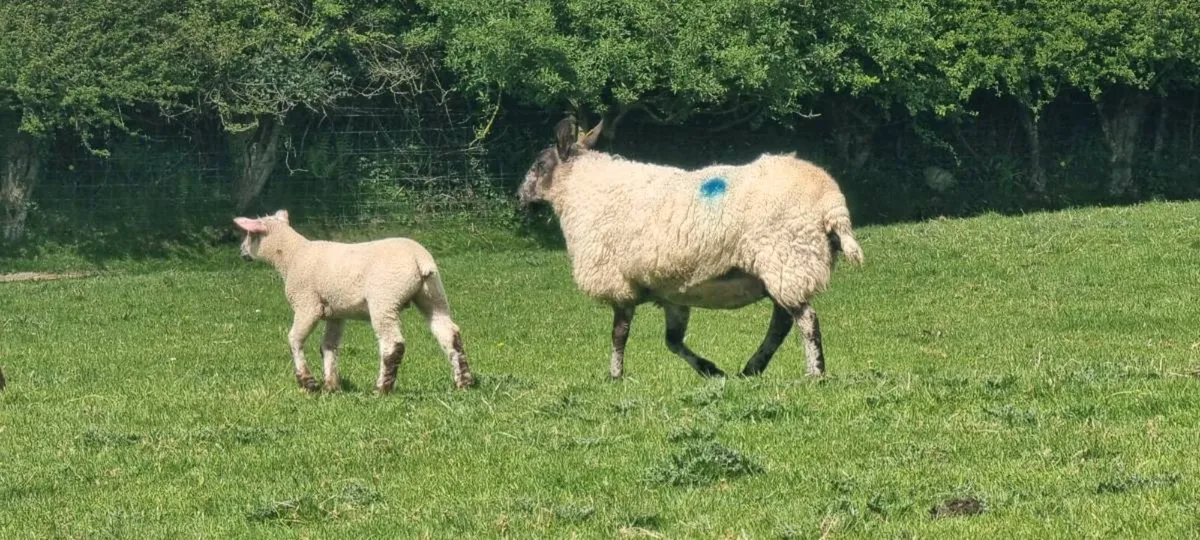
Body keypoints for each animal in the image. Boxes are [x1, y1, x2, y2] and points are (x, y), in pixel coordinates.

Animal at [233, 210, 474, 393]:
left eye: (249, 234)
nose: (241, 251)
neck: (291, 256)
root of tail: (420, 259)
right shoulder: (336, 312)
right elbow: (328, 346)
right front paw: (331, 386)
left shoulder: (307, 304)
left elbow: (294, 339)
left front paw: (308, 382)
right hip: (433, 295)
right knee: (449, 334)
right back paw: (464, 382)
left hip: (384, 298)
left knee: (392, 343)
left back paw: (382, 388)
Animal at [518, 115, 863, 379]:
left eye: (539, 163)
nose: (519, 198)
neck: (580, 190)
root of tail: (832, 203)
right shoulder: (671, 291)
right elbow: (672, 341)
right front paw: (710, 370)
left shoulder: (620, 282)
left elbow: (619, 333)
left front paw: (614, 375)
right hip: (785, 268)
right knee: (783, 323)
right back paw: (753, 368)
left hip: (787, 259)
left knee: (806, 320)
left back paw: (814, 373)